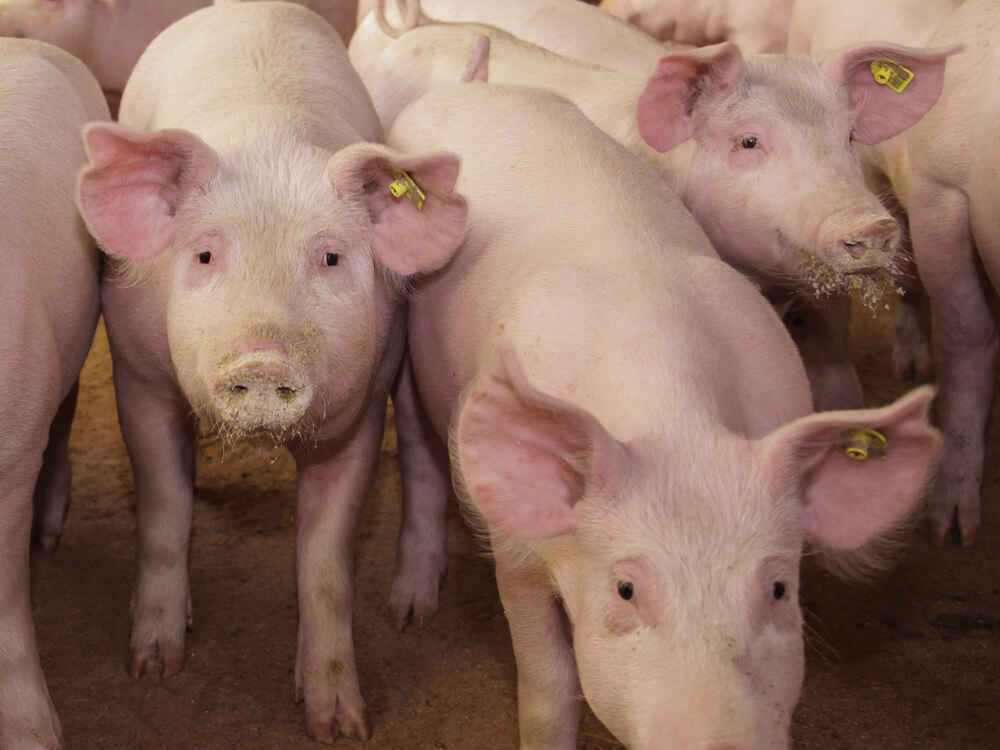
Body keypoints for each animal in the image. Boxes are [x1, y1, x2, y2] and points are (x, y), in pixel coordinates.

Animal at [72, 2, 466, 742]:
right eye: (203, 255)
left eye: (331, 258)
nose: (261, 358)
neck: (273, 141)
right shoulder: (138, 377)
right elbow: (164, 510)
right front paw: (155, 666)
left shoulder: (360, 411)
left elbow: (326, 565)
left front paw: (339, 725)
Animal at [386, 81, 940, 750]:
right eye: (626, 588)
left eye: (779, 588)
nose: (721, 738)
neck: (678, 424)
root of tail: (473, 86)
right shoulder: (515, 547)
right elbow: (549, 687)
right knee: (419, 454)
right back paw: (410, 611)